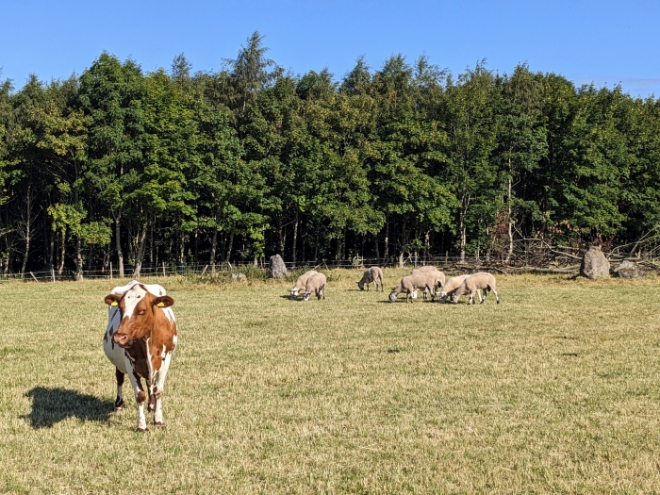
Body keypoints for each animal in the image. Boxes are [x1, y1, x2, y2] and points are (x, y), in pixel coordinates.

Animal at [102, 280, 177, 432]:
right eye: (120, 308)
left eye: (142, 310)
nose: (119, 337)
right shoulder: (130, 363)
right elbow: (140, 395)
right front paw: (142, 425)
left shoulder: (166, 359)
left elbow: (158, 390)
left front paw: (158, 419)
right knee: (120, 378)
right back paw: (119, 404)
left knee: (150, 383)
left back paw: (152, 406)